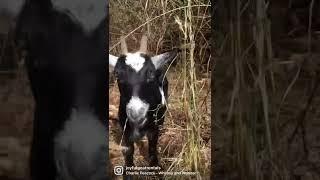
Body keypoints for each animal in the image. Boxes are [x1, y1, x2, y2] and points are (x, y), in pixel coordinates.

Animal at [109, 35, 179, 172]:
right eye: (117, 74)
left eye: (151, 73)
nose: (136, 113)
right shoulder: (126, 128)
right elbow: (129, 152)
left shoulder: (153, 130)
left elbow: (152, 150)